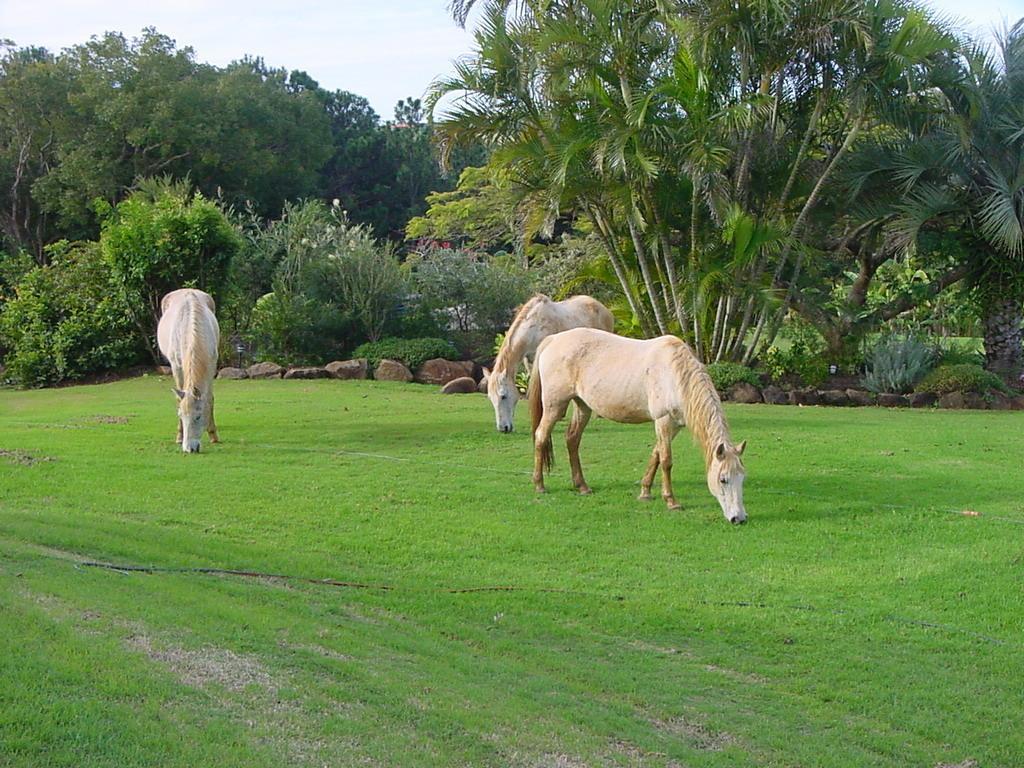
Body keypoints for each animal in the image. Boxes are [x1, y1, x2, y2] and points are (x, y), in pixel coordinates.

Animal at [155, 290, 220, 454]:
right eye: (181, 415)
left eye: (197, 416)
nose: (190, 448)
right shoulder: (176, 366)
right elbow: (179, 400)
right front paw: (179, 436)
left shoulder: (211, 365)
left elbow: (209, 398)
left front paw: (213, 434)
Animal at [528, 327, 745, 528]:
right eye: (723, 479)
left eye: (742, 478)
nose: (739, 518)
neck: (674, 373)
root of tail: (553, 339)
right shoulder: (663, 420)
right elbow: (666, 461)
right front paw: (671, 501)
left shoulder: (675, 425)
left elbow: (656, 455)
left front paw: (645, 492)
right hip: (555, 406)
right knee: (541, 436)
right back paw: (539, 485)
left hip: (583, 406)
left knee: (572, 440)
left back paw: (582, 486)